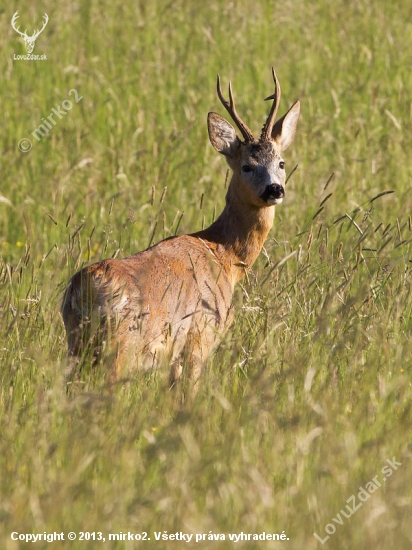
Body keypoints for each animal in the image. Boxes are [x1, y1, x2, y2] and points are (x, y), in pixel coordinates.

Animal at [62, 69, 300, 392]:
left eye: (281, 162)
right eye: (247, 166)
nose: (274, 189)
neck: (223, 254)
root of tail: (87, 287)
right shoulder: (200, 335)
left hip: (76, 343)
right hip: (122, 343)